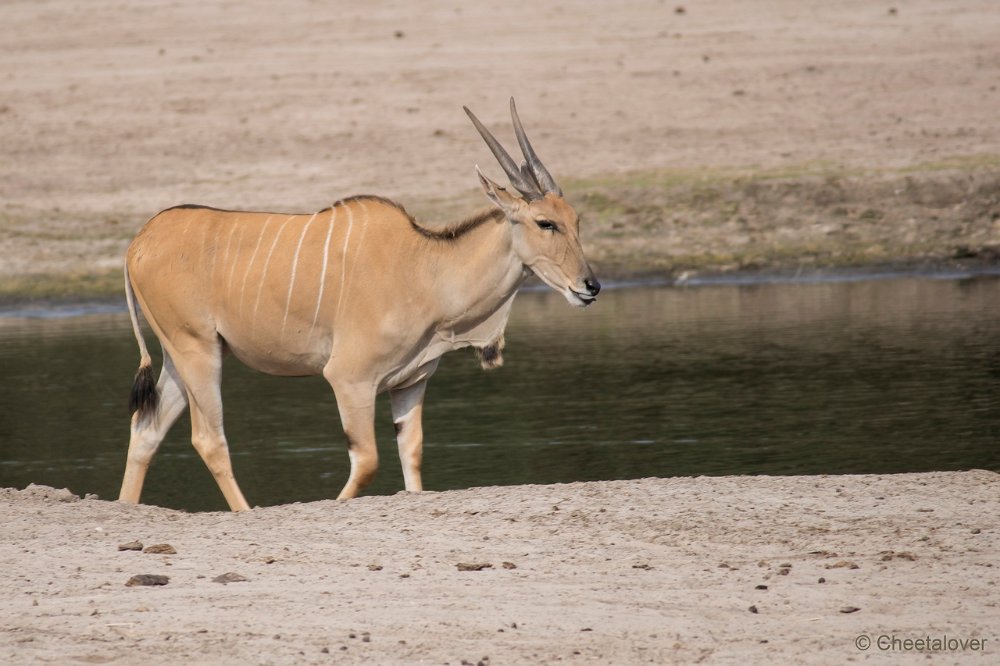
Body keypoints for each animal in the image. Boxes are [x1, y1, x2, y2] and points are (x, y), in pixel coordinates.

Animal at [120, 98, 596, 508]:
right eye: (545, 223)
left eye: (575, 221)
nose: (590, 286)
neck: (425, 269)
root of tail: (140, 241)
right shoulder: (350, 379)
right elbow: (366, 462)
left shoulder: (410, 382)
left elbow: (412, 457)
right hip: (197, 349)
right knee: (209, 439)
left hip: (182, 355)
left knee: (146, 429)